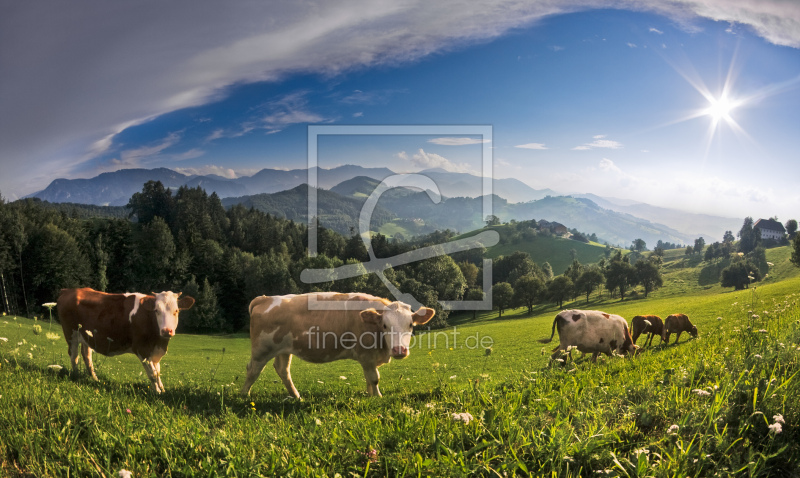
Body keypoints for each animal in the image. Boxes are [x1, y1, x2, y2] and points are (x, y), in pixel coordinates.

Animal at [56, 288, 195, 392]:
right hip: (71, 333)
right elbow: (153, 374)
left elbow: (158, 371)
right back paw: (76, 377)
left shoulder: (155, 350)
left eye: (176, 311)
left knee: (87, 355)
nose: (167, 331)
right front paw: (157, 392)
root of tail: (69, 290)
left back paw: (95, 379)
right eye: (156, 310)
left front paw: (162, 389)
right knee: (74, 356)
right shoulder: (141, 349)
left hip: (87, 335)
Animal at [241, 292, 434, 400]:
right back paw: (244, 396)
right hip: (261, 350)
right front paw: (378, 397)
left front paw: (370, 395)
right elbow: (374, 378)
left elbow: (368, 379)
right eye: (385, 325)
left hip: (284, 349)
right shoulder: (366, 355)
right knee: (252, 370)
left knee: (283, 370)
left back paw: (296, 396)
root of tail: (265, 299)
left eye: (410, 325)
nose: (399, 350)